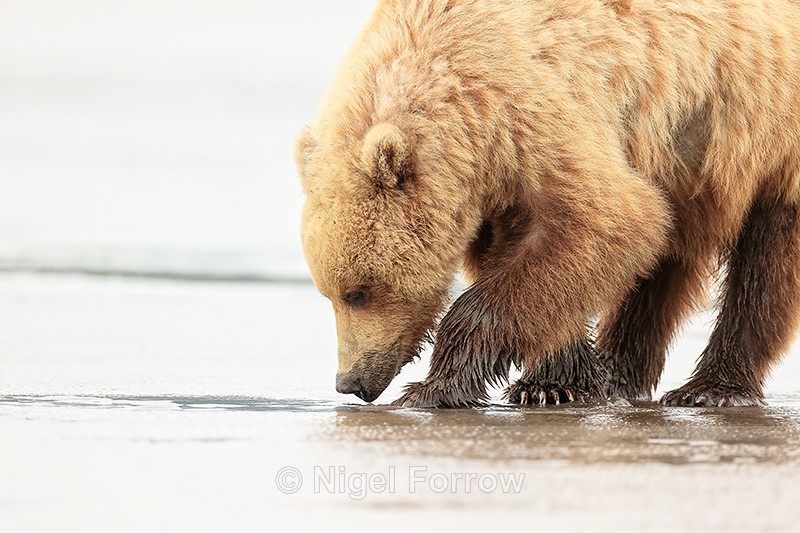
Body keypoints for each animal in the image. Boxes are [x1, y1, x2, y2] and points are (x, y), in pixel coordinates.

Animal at [295, 0, 800, 407]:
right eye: (329, 292)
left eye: (358, 292)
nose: (350, 381)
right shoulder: (501, 174)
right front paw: (558, 379)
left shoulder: (532, 108)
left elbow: (608, 220)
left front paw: (432, 388)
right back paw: (619, 371)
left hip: (766, 124)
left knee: (766, 265)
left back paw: (713, 388)